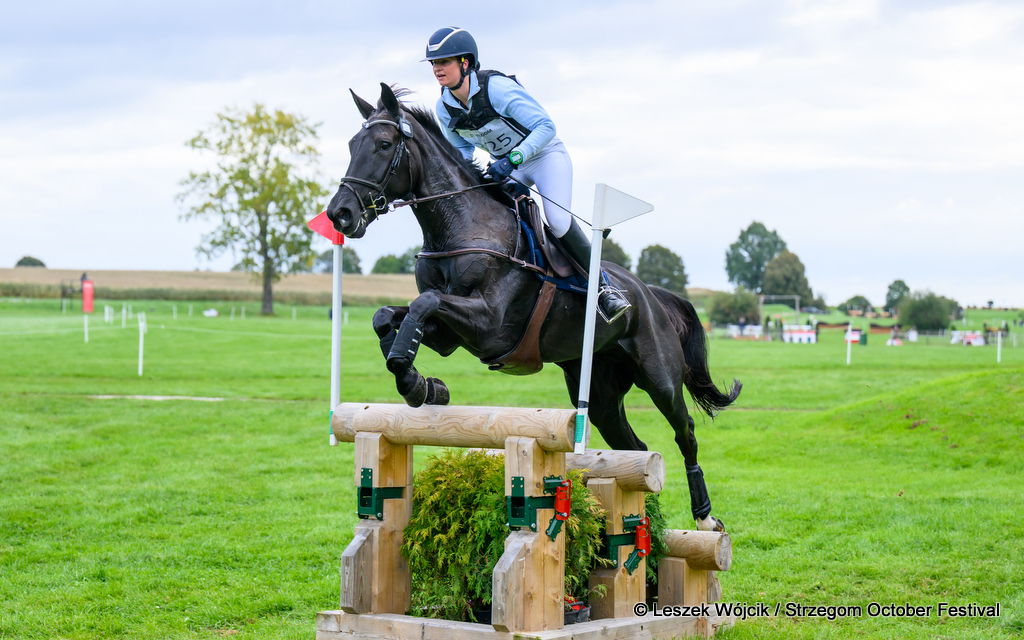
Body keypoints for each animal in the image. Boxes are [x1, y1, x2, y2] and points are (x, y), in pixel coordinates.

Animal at [326, 83, 741, 531]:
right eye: (350, 145)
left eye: (384, 145)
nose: (340, 213)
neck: (460, 228)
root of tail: (650, 294)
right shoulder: (451, 335)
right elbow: (388, 315)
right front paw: (420, 383)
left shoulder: (488, 325)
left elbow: (425, 301)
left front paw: (412, 376)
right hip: (600, 391)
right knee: (634, 446)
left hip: (659, 375)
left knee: (686, 432)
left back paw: (704, 518)